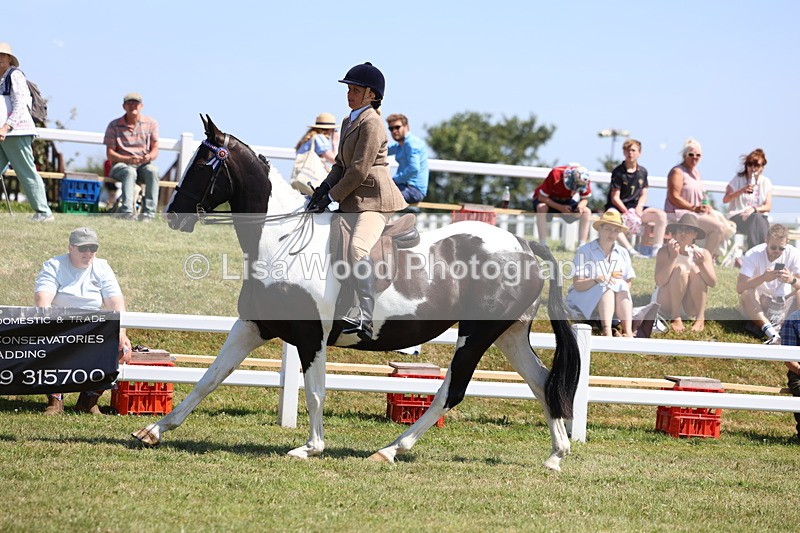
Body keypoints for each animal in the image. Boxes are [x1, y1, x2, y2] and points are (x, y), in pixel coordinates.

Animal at [132, 115, 581, 471]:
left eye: (203, 164)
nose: (173, 215)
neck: (280, 239)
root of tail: (523, 245)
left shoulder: (311, 335)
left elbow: (315, 391)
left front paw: (310, 448)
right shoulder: (253, 325)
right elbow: (209, 378)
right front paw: (154, 430)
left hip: (476, 334)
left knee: (452, 391)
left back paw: (390, 450)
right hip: (508, 334)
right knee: (542, 383)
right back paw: (555, 456)